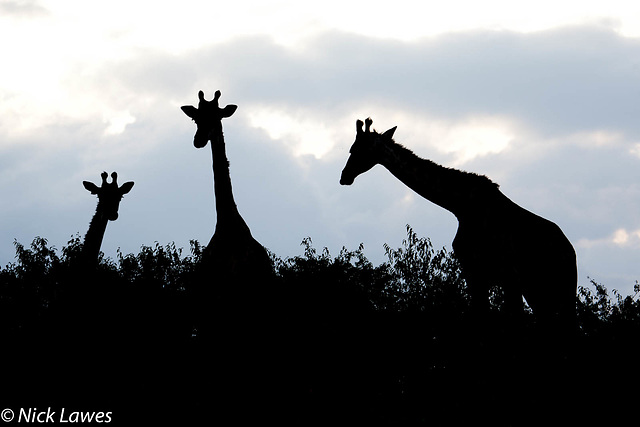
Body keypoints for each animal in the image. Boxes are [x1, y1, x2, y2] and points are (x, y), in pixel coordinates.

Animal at [342, 118, 576, 338]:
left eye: (355, 149)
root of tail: (570, 251)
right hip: (539, 291)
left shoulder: (496, 274)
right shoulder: (479, 273)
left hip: (555, 289)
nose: (344, 177)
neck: (460, 206)